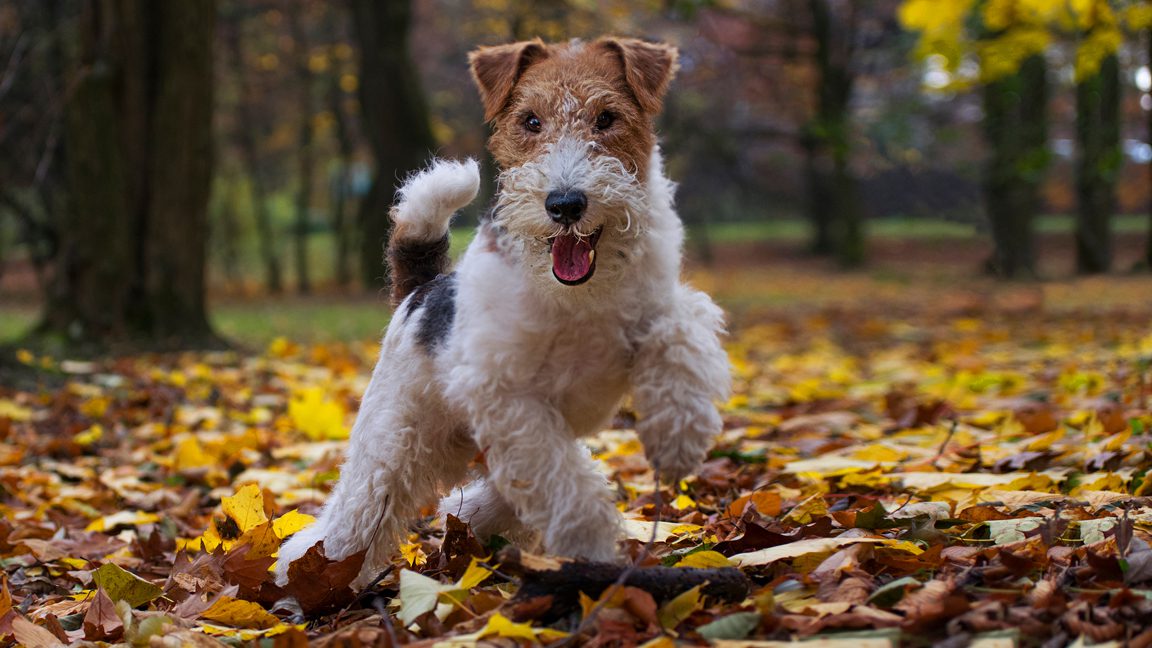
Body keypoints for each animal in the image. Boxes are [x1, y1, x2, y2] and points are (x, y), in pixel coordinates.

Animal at [274, 37, 728, 588]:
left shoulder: (658, 309)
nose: (565, 204)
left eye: (607, 118)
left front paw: (677, 436)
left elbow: (679, 334)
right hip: (392, 444)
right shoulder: (507, 394)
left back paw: (474, 521)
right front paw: (591, 546)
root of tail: (420, 290)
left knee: (486, 496)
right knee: (350, 520)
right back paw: (307, 580)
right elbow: (567, 488)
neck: (578, 298)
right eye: (531, 121)